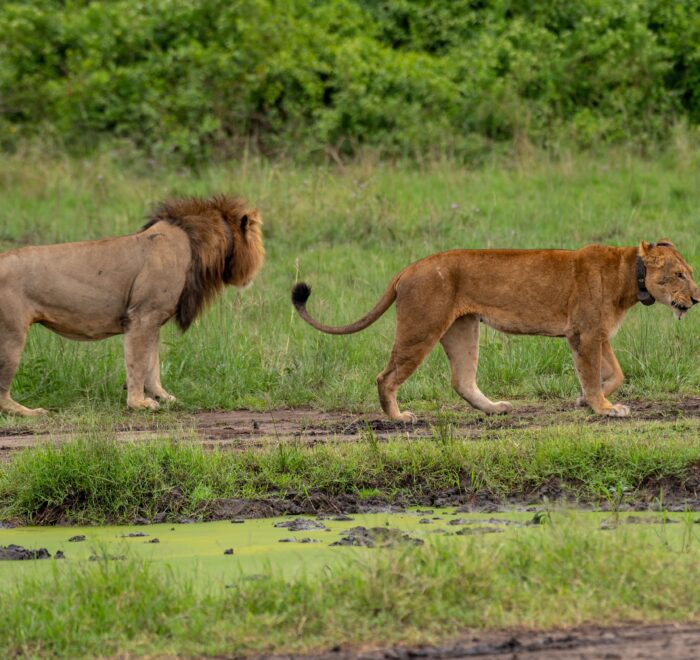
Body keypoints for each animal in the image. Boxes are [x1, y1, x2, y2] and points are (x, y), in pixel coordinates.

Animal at [0, 193, 262, 416]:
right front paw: (139, 403)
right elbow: (138, 363)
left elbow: (152, 364)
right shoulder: (142, 317)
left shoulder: (153, 320)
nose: (258, 267)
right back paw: (31, 412)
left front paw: (163, 397)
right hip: (12, 333)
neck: (193, 244)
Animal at [292, 240, 696, 420]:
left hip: (463, 329)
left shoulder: (596, 334)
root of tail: (408, 268)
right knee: (386, 376)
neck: (631, 275)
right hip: (421, 327)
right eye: (679, 274)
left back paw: (494, 408)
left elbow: (615, 374)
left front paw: (586, 400)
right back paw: (398, 417)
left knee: (462, 379)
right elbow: (594, 375)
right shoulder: (583, 334)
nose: (696, 298)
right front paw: (603, 408)